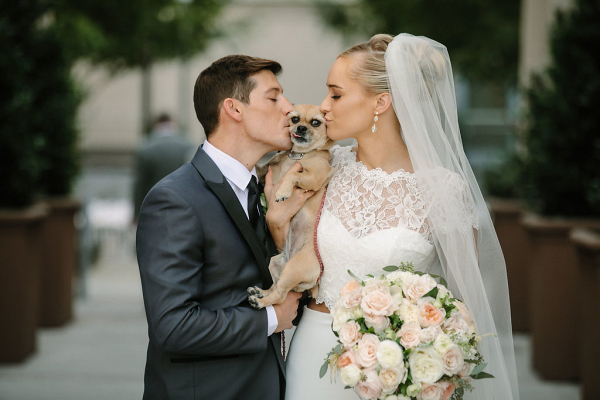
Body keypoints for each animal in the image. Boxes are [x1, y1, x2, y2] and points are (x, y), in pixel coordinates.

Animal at [246, 104, 336, 310]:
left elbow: (292, 175)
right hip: (276, 263)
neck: (298, 155)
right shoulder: (266, 168)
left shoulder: (314, 177)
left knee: (280, 295)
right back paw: (260, 293)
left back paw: (260, 302)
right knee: (276, 287)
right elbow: (260, 167)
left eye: (316, 122)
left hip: (293, 269)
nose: (301, 128)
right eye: (295, 119)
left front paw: (282, 192)